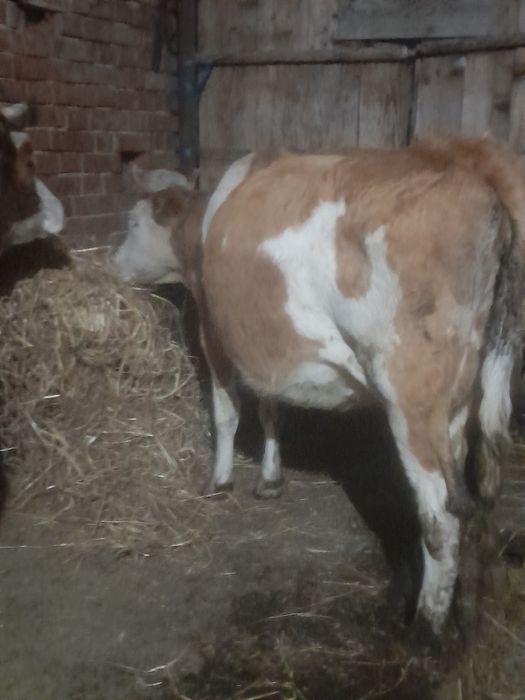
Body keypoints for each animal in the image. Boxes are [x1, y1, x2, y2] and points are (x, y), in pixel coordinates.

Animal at [113, 138, 524, 635]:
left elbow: (227, 413)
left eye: (133, 223)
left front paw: (220, 480)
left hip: (412, 400)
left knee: (440, 519)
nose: (111, 265)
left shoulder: (216, 335)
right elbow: (270, 407)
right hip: (462, 397)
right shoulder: (269, 346)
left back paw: (425, 628)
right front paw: (270, 478)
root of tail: (473, 158)